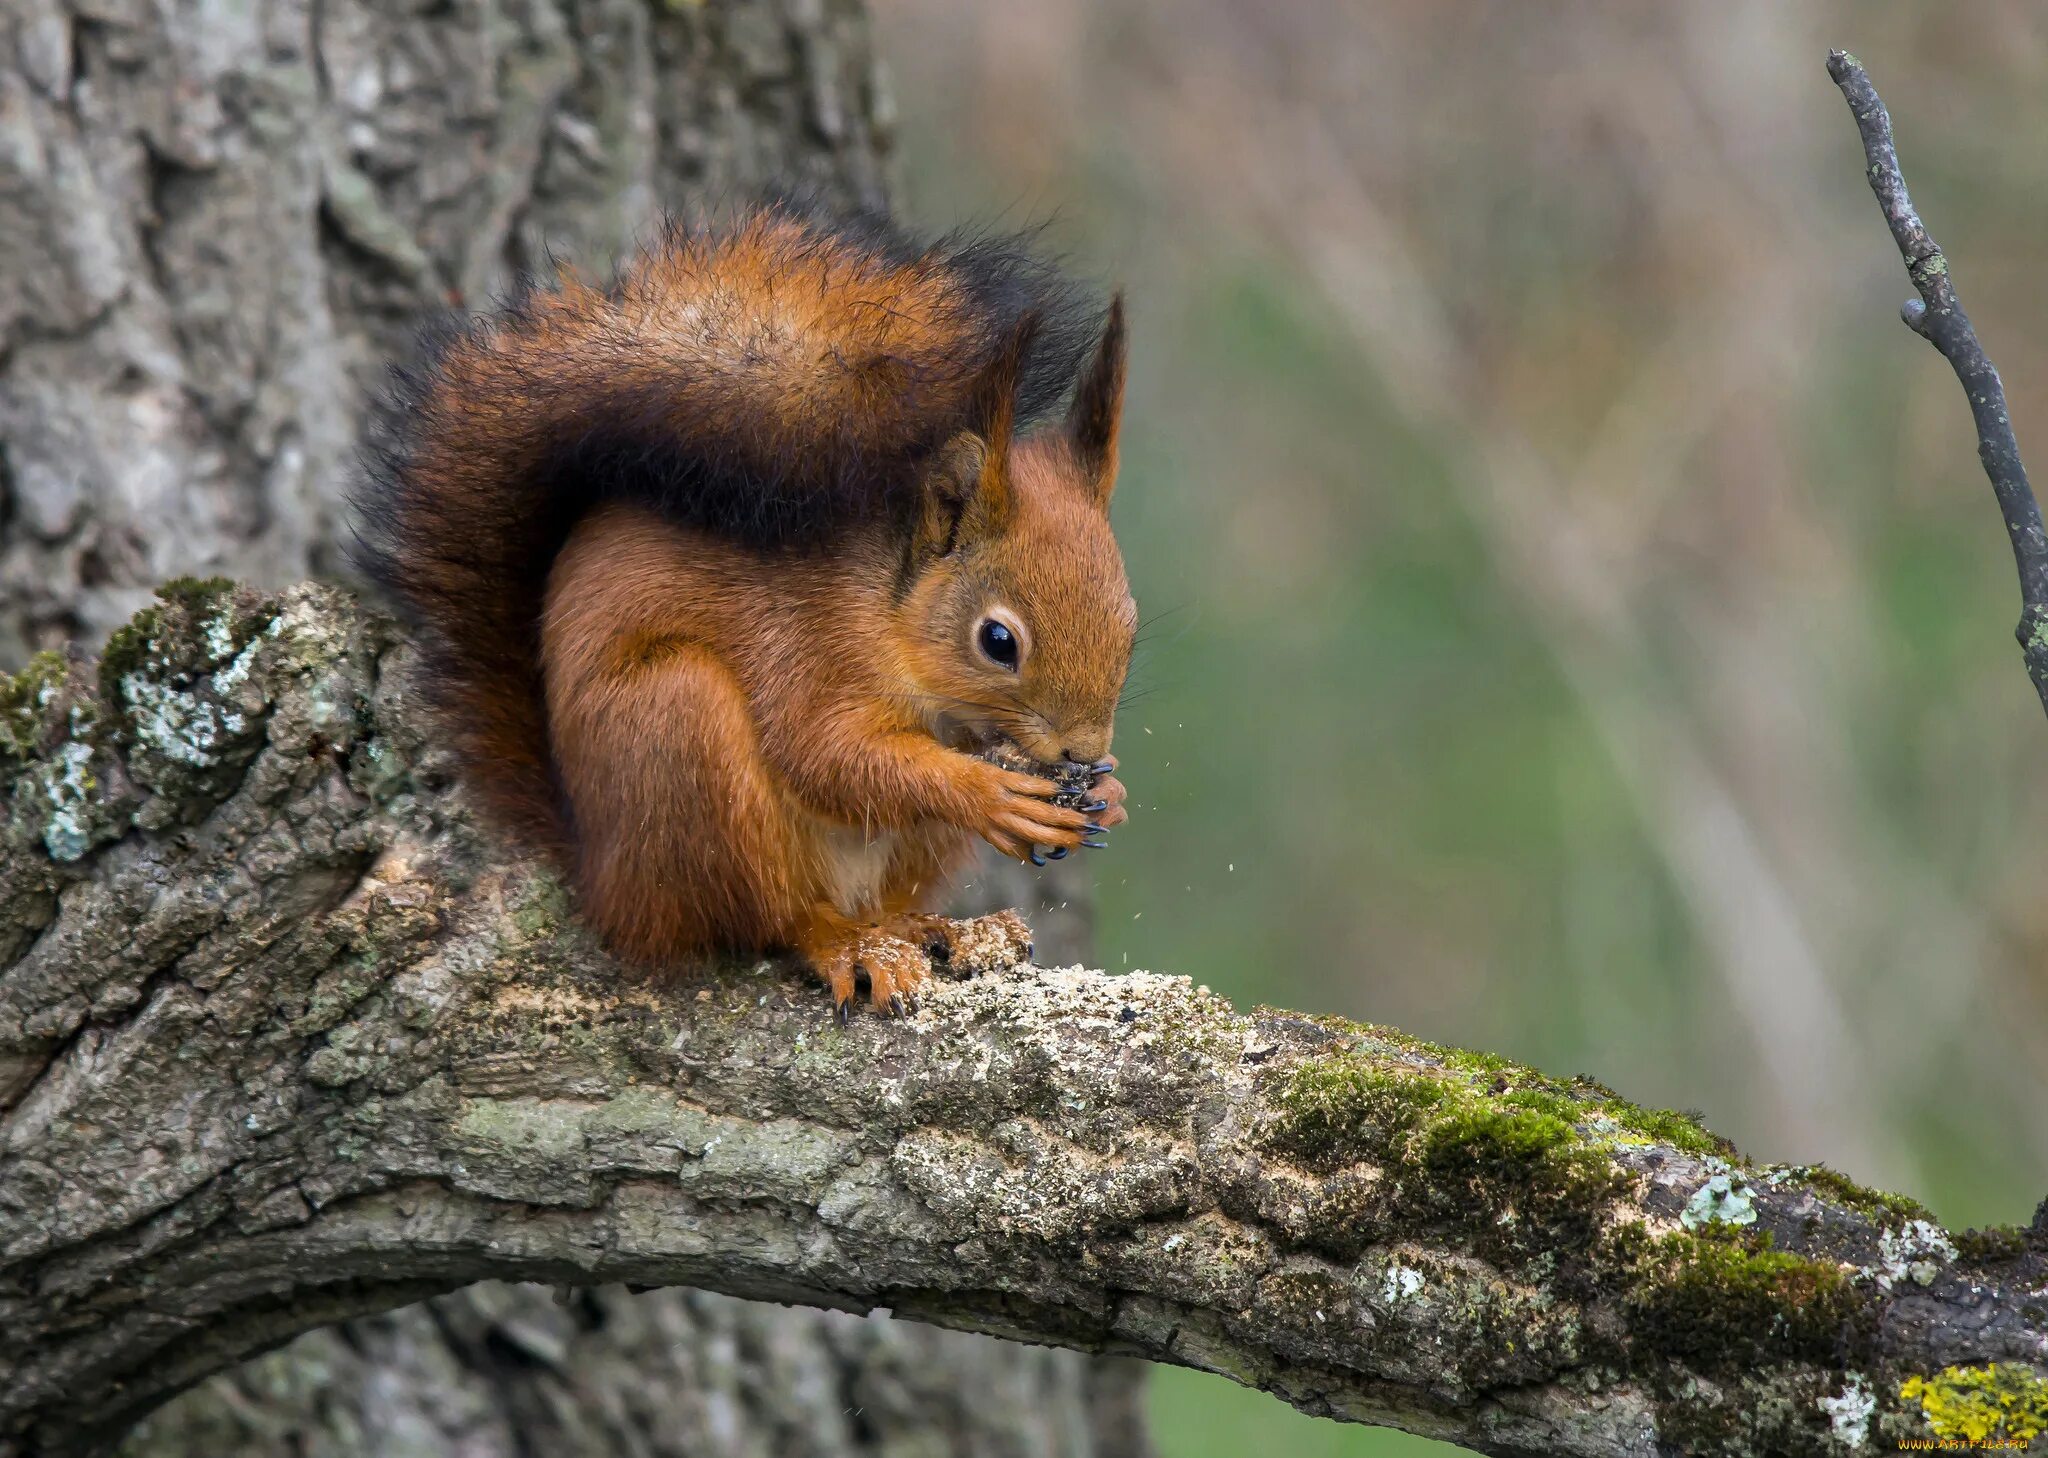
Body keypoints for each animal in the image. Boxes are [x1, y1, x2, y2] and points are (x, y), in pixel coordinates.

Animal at [360, 204, 1146, 1019]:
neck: (889, 611)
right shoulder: (806, 642)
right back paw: (847, 944)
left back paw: (937, 926)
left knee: (881, 901)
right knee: (772, 919)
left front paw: (1110, 792)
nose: (1082, 751)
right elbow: (825, 755)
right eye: (997, 640)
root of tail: (603, 883)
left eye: (1131, 628)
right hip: (679, 734)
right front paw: (990, 792)